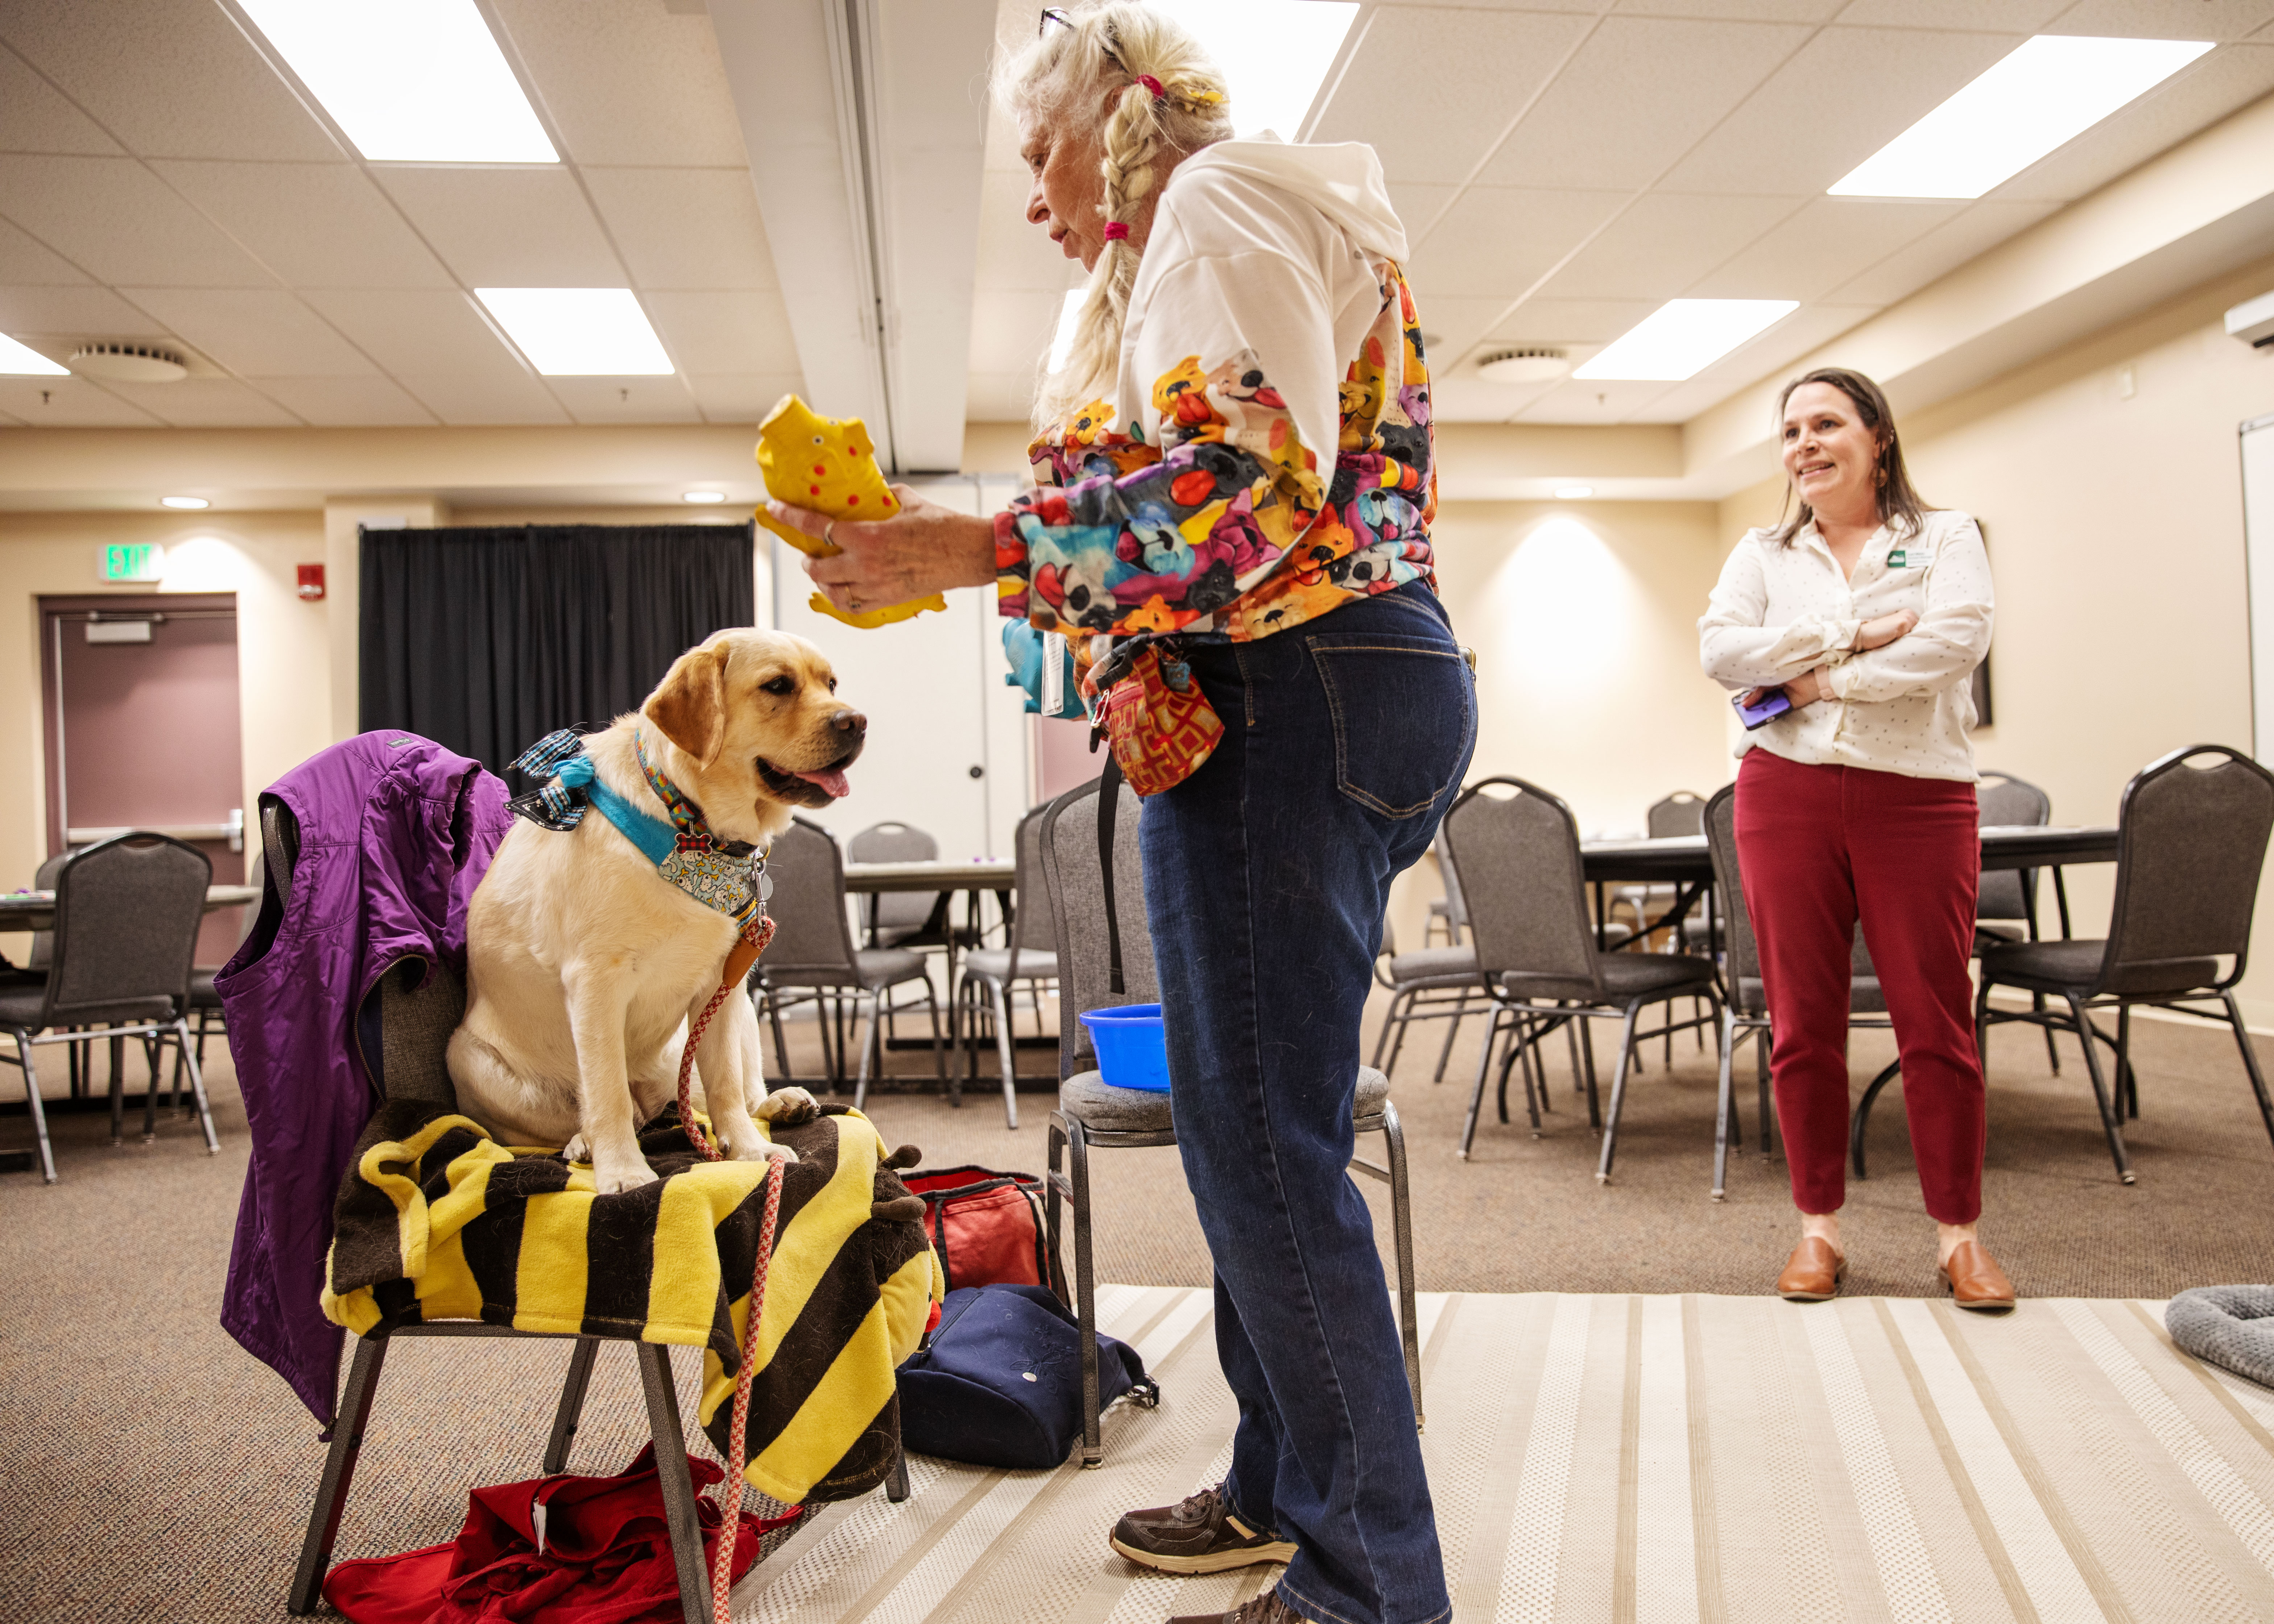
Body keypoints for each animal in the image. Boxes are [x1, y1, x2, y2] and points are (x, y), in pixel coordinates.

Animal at [448, 627, 864, 1192]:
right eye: (778, 685)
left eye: (831, 683)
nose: (857, 722)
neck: (691, 828)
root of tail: (656, 1106)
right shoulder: (595, 981)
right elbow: (606, 1092)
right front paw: (623, 1171)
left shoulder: (722, 980)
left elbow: (725, 1083)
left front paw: (750, 1150)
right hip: (467, 1057)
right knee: (586, 1114)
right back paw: (584, 1144)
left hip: (738, 1012)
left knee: (728, 1090)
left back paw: (781, 1103)